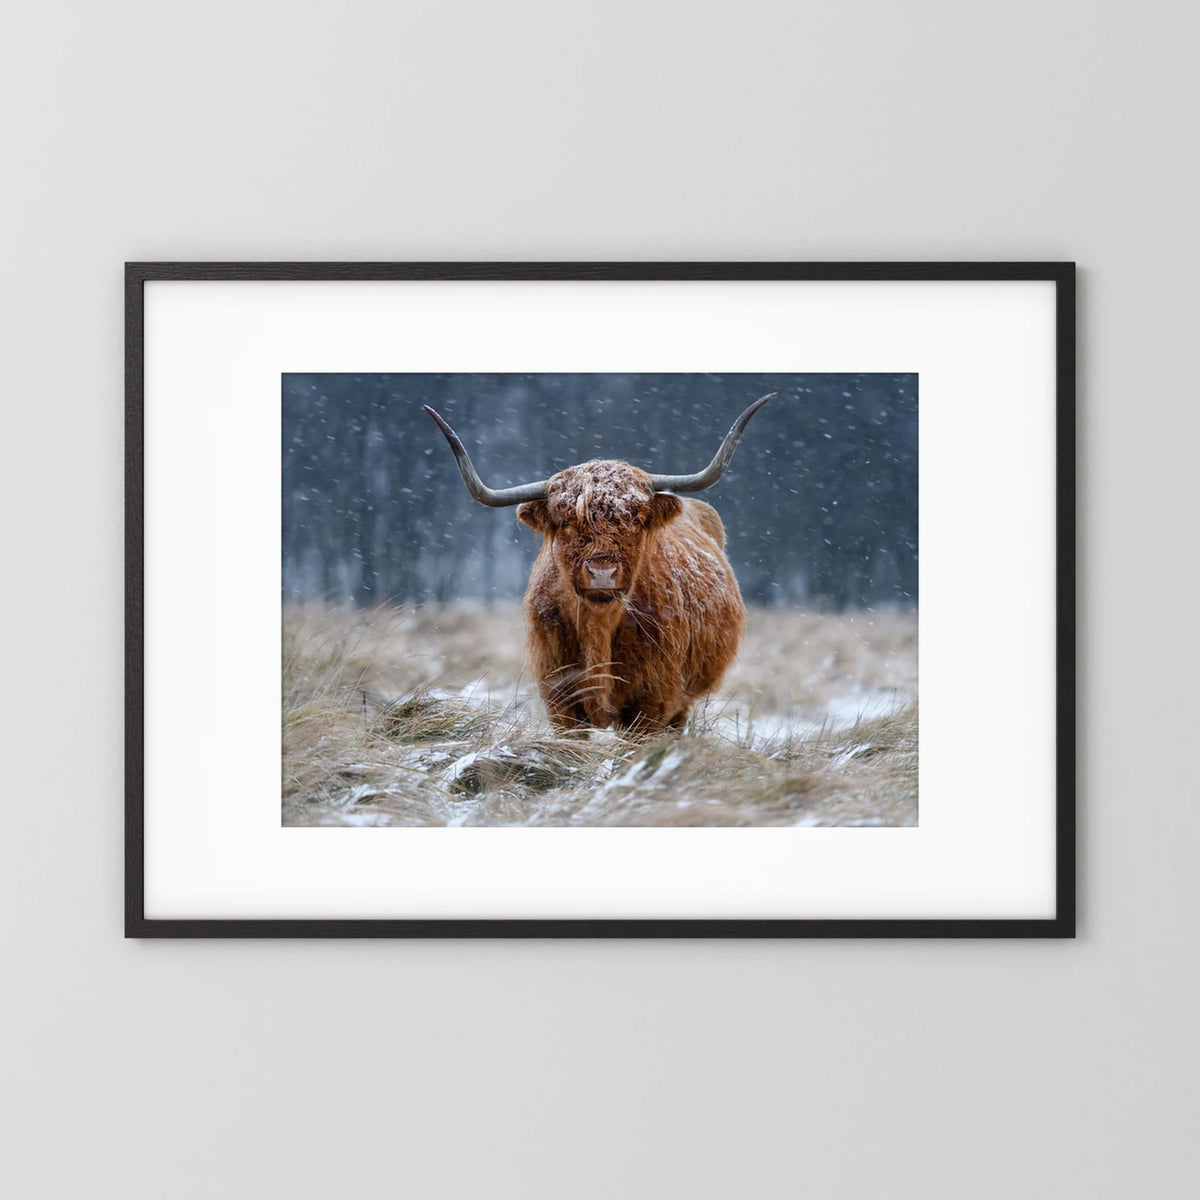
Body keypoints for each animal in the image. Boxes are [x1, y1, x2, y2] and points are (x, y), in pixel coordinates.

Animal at [423, 393, 776, 734]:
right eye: (567, 522)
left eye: (635, 519)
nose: (602, 573)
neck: (598, 629)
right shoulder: (559, 697)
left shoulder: (654, 700)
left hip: (682, 701)